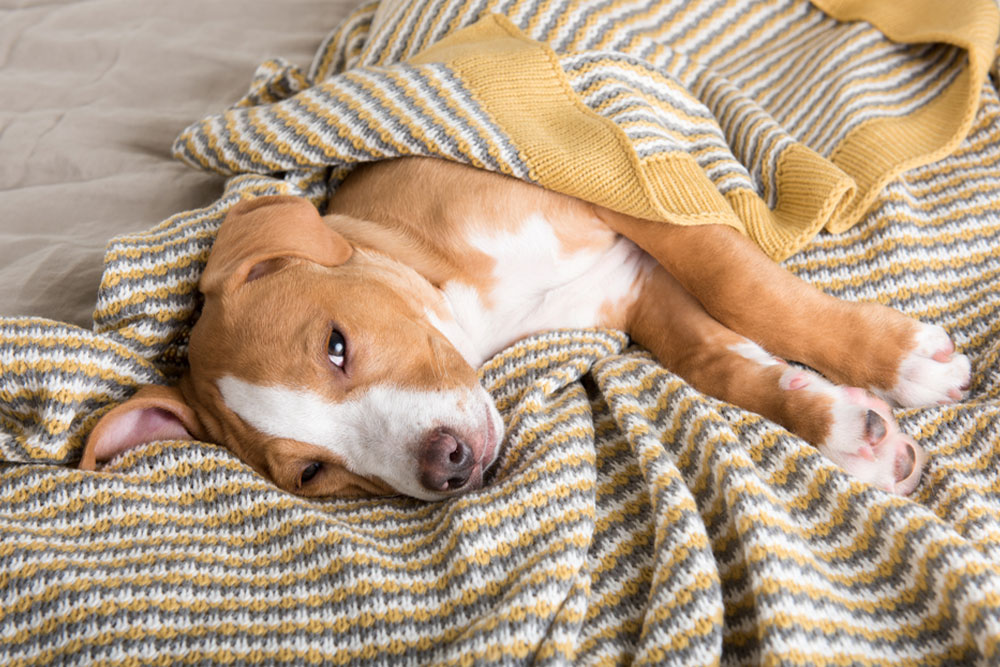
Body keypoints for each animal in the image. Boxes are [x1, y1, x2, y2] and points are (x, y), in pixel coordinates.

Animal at [82, 158, 972, 500]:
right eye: (310, 473)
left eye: (337, 344)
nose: (447, 465)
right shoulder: (636, 289)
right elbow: (715, 358)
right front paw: (841, 425)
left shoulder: (633, 195)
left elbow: (747, 288)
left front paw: (898, 360)